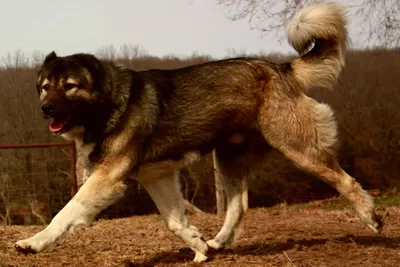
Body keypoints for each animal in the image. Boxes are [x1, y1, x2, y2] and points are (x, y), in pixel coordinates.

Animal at [14, 3, 382, 264]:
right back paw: (218, 240)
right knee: (239, 205)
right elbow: (174, 221)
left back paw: (371, 218)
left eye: (69, 86)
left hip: (298, 148)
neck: (110, 103)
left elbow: (67, 212)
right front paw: (199, 245)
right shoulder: (157, 177)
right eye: (45, 87)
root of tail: (281, 68)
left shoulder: (106, 179)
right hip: (229, 157)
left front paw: (33, 242)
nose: (46, 109)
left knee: (345, 180)